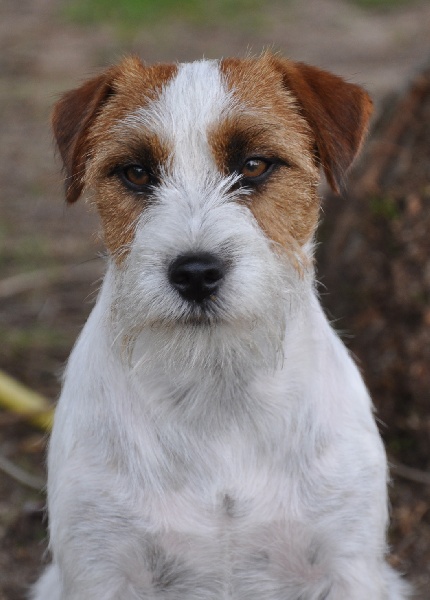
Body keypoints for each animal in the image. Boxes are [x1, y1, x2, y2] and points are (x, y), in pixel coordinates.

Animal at [32, 54, 410, 596]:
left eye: (254, 165)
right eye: (136, 172)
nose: (195, 273)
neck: (217, 389)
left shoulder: (348, 563)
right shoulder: (99, 566)